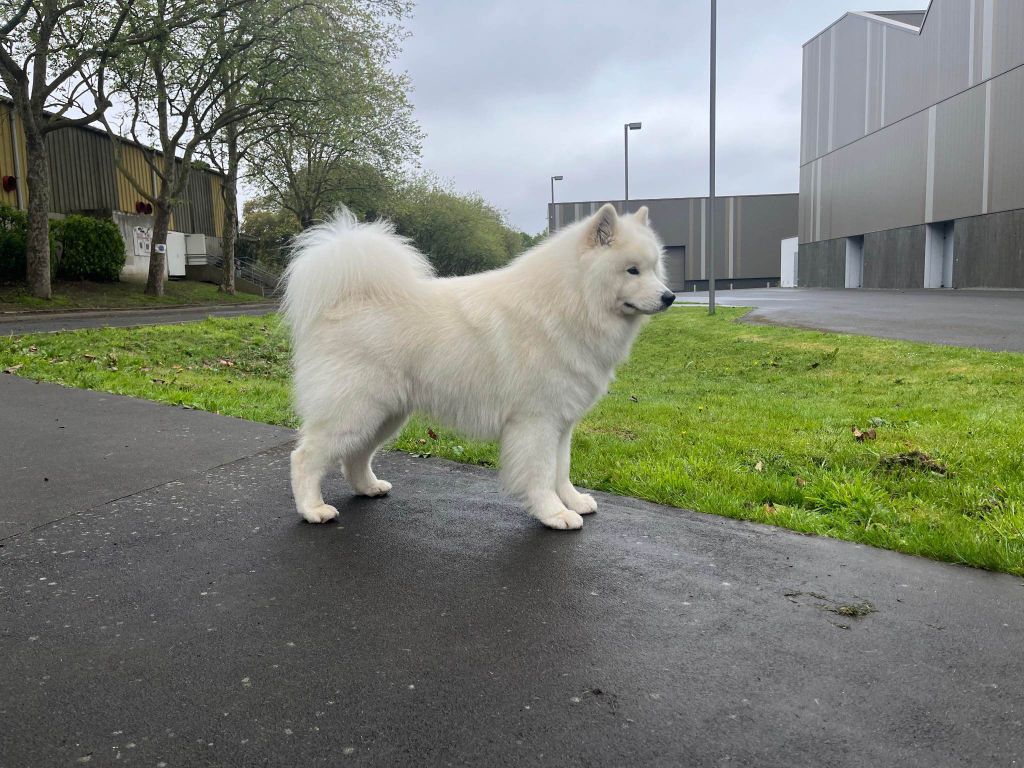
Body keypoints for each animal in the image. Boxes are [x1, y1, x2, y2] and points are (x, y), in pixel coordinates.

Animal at [284, 201, 675, 532]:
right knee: (304, 457)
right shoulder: (536, 422)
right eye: (632, 270)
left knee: (355, 458)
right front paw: (554, 514)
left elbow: (561, 470)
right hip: (354, 412)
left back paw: (368, 487)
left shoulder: (561, 423)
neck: (571, 301)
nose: (670, 297)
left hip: (384, 416)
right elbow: (541, 473)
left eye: (655, 268)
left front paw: (573, 502)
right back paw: (313, 509)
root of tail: (345, 301)